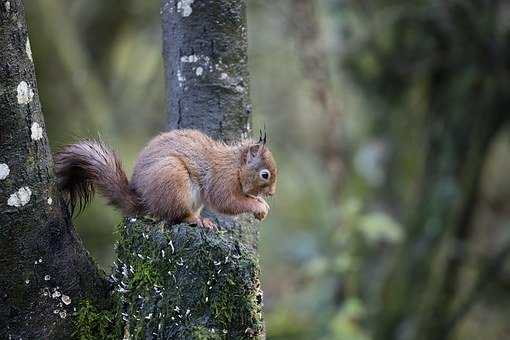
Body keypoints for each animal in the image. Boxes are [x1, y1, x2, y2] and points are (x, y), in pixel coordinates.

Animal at [55, 129, 276, 230]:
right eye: (264, 174)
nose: (272, 193)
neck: (236, 166)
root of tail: (145, 200)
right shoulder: (222, 179)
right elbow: (227, 202)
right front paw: (259, 207)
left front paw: (262, 203)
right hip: (172, 179)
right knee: (176, 215)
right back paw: (198, 220)